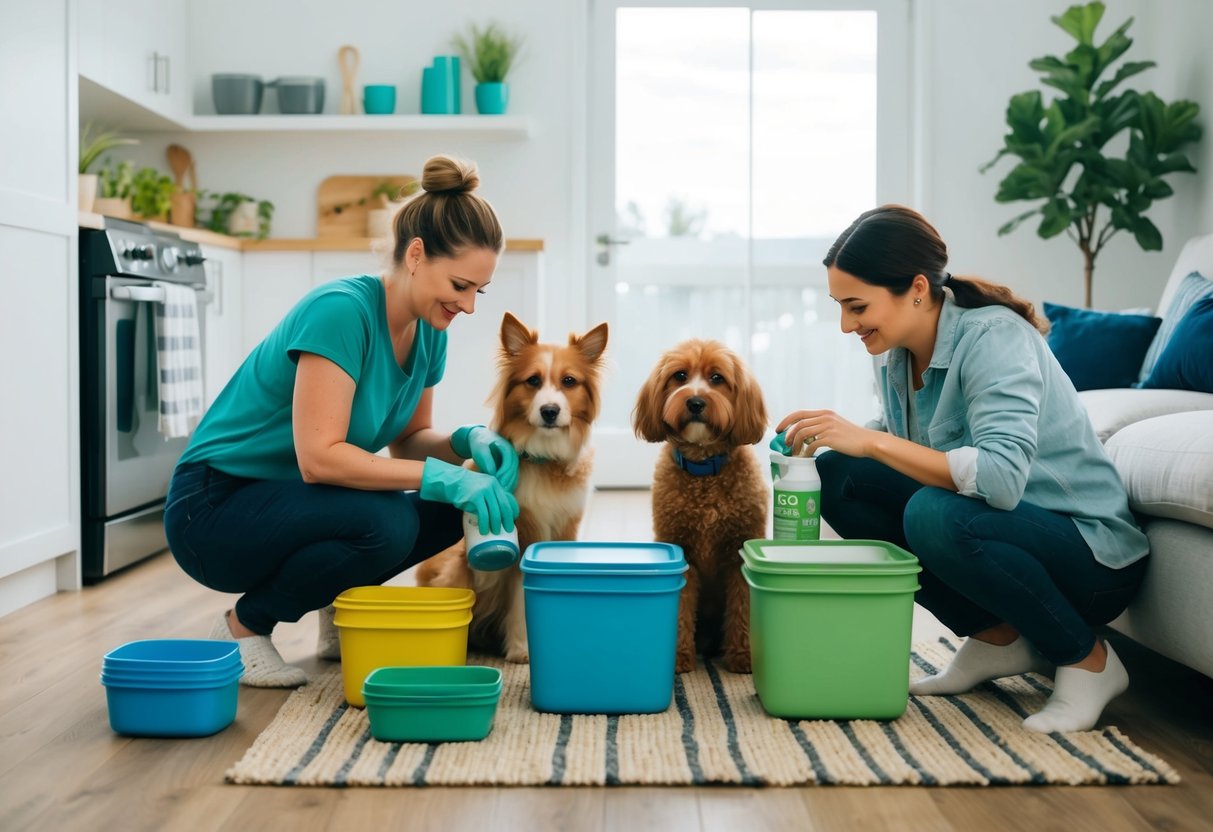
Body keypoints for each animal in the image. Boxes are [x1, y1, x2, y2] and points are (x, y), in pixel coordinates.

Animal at [417, 312, 611, 664]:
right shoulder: (523, 532)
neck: (544, 457)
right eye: (533, 381)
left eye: (569, 381)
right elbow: (520, 598)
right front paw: (522, 649)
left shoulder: (567, 527)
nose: (550, 411)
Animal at [635, 342, 766, 674]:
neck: (704, 471)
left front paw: (743, 657)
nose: (695, 402)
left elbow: (743, 608)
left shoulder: (737, 554)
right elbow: (680, 609)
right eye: (680, 376)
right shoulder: (684, 553)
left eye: (717, 378)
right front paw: (679, 658)